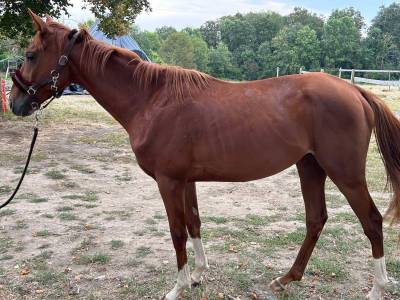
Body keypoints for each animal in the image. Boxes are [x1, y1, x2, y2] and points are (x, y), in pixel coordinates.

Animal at [9, 11, 400, 298]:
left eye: (30, 55)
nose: (15, 103)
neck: (151, 99)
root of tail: (355, 90)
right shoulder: (187, 181)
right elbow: (194, 223)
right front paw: (198, 276)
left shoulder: (168, 182)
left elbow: (176, 231)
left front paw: (178, 286)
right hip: (310, 167)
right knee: (316, 220)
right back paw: (286, 279)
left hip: (345, 173)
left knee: (372, 221)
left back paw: (377, 288)